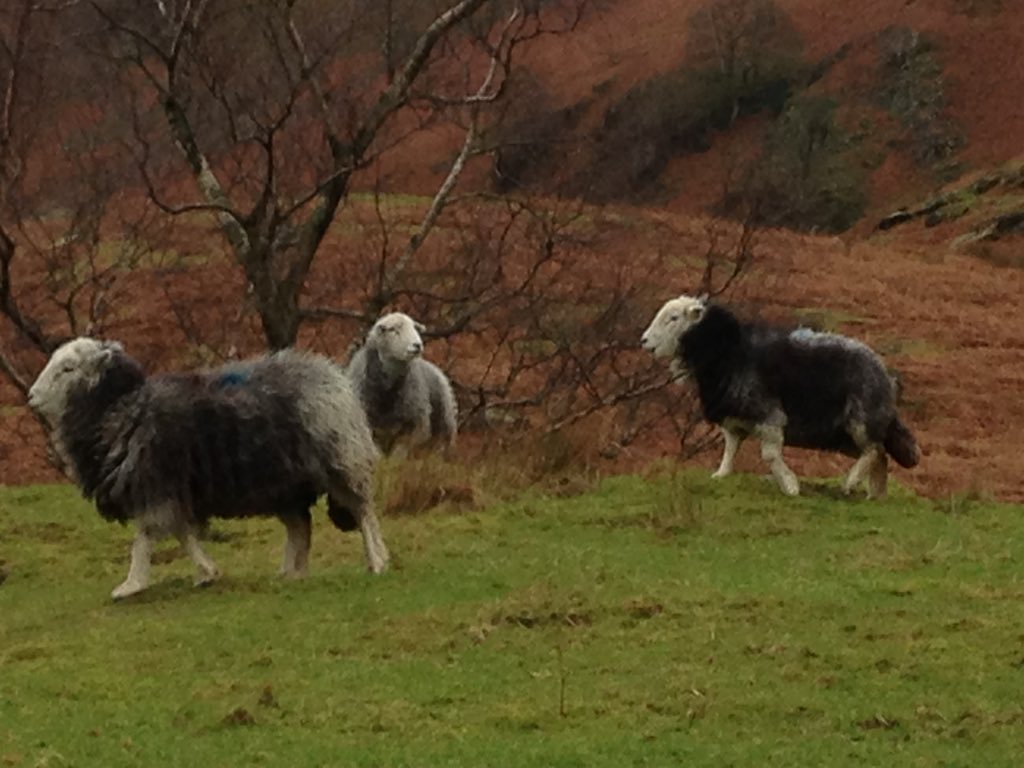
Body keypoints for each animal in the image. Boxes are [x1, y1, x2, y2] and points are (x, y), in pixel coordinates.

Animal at [27, 338, 390, 600]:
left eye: (67, 368)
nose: (31, 397)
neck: (122, 409)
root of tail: (330, 375)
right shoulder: (170, 491)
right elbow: (182, 534)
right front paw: (206, 572)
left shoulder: (155, 485)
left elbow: (145, 538)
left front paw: (131, 585)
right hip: (285, 484)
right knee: (301, 527)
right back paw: (291, 573)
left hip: (341, 461)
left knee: (364, 512)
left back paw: (377, 561)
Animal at [641, 294, 920, 498]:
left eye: (673, 317)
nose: (644, 341)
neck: (730, 353)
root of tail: (886, 375)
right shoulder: (734, 418)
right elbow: (730, 448)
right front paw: (721, 474)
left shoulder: (770, 416)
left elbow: (769, 455)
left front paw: (790, 485)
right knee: (881, 456)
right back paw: (876, 495)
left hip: (862, 421)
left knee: (873, 451)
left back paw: (850, 483)